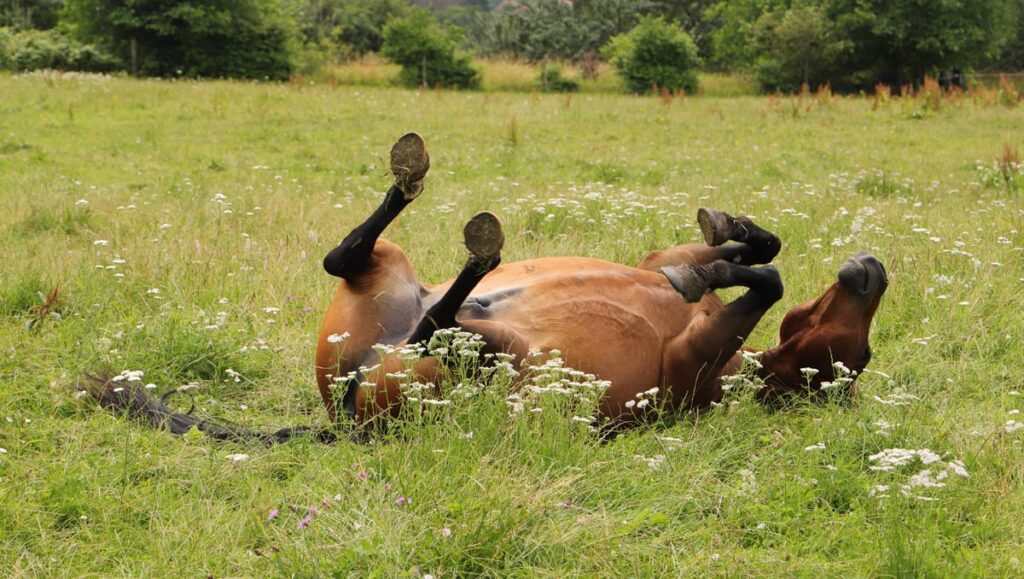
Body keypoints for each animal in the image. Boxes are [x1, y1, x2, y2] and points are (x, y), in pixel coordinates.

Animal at [315, 134, 884, 428]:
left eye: (861, 358)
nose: (874, 271)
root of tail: (347, 400)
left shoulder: (691, 363)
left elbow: (770, 281)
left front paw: (705, 273)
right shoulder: (658, 260)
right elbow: (764, 254)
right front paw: (729, 232)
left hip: (501, 354)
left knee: (434, 323)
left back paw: (482, 251)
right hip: (390, 270)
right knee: (346, 257)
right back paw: (413, 174)